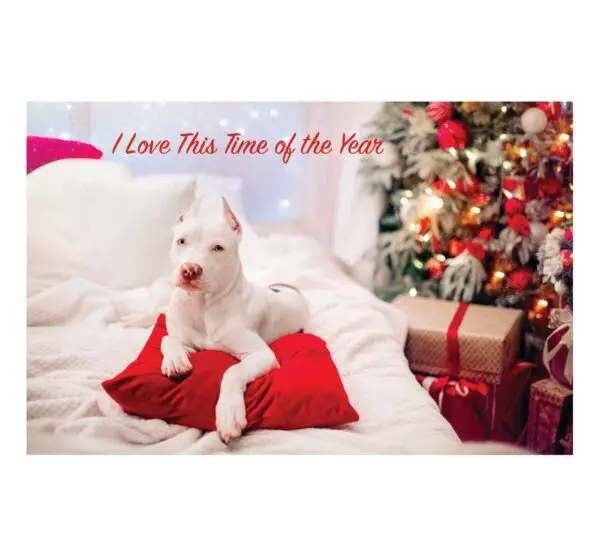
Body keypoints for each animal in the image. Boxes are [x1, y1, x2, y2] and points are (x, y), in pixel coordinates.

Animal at [159, 195, 310, 444]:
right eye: (181, 241)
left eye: (218, 248)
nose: (190, 270)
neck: (203, 306)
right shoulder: (185, 337)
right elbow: (167, 339)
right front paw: (175, 360)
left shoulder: (261, 355)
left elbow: (232, 371)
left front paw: (229, 413)